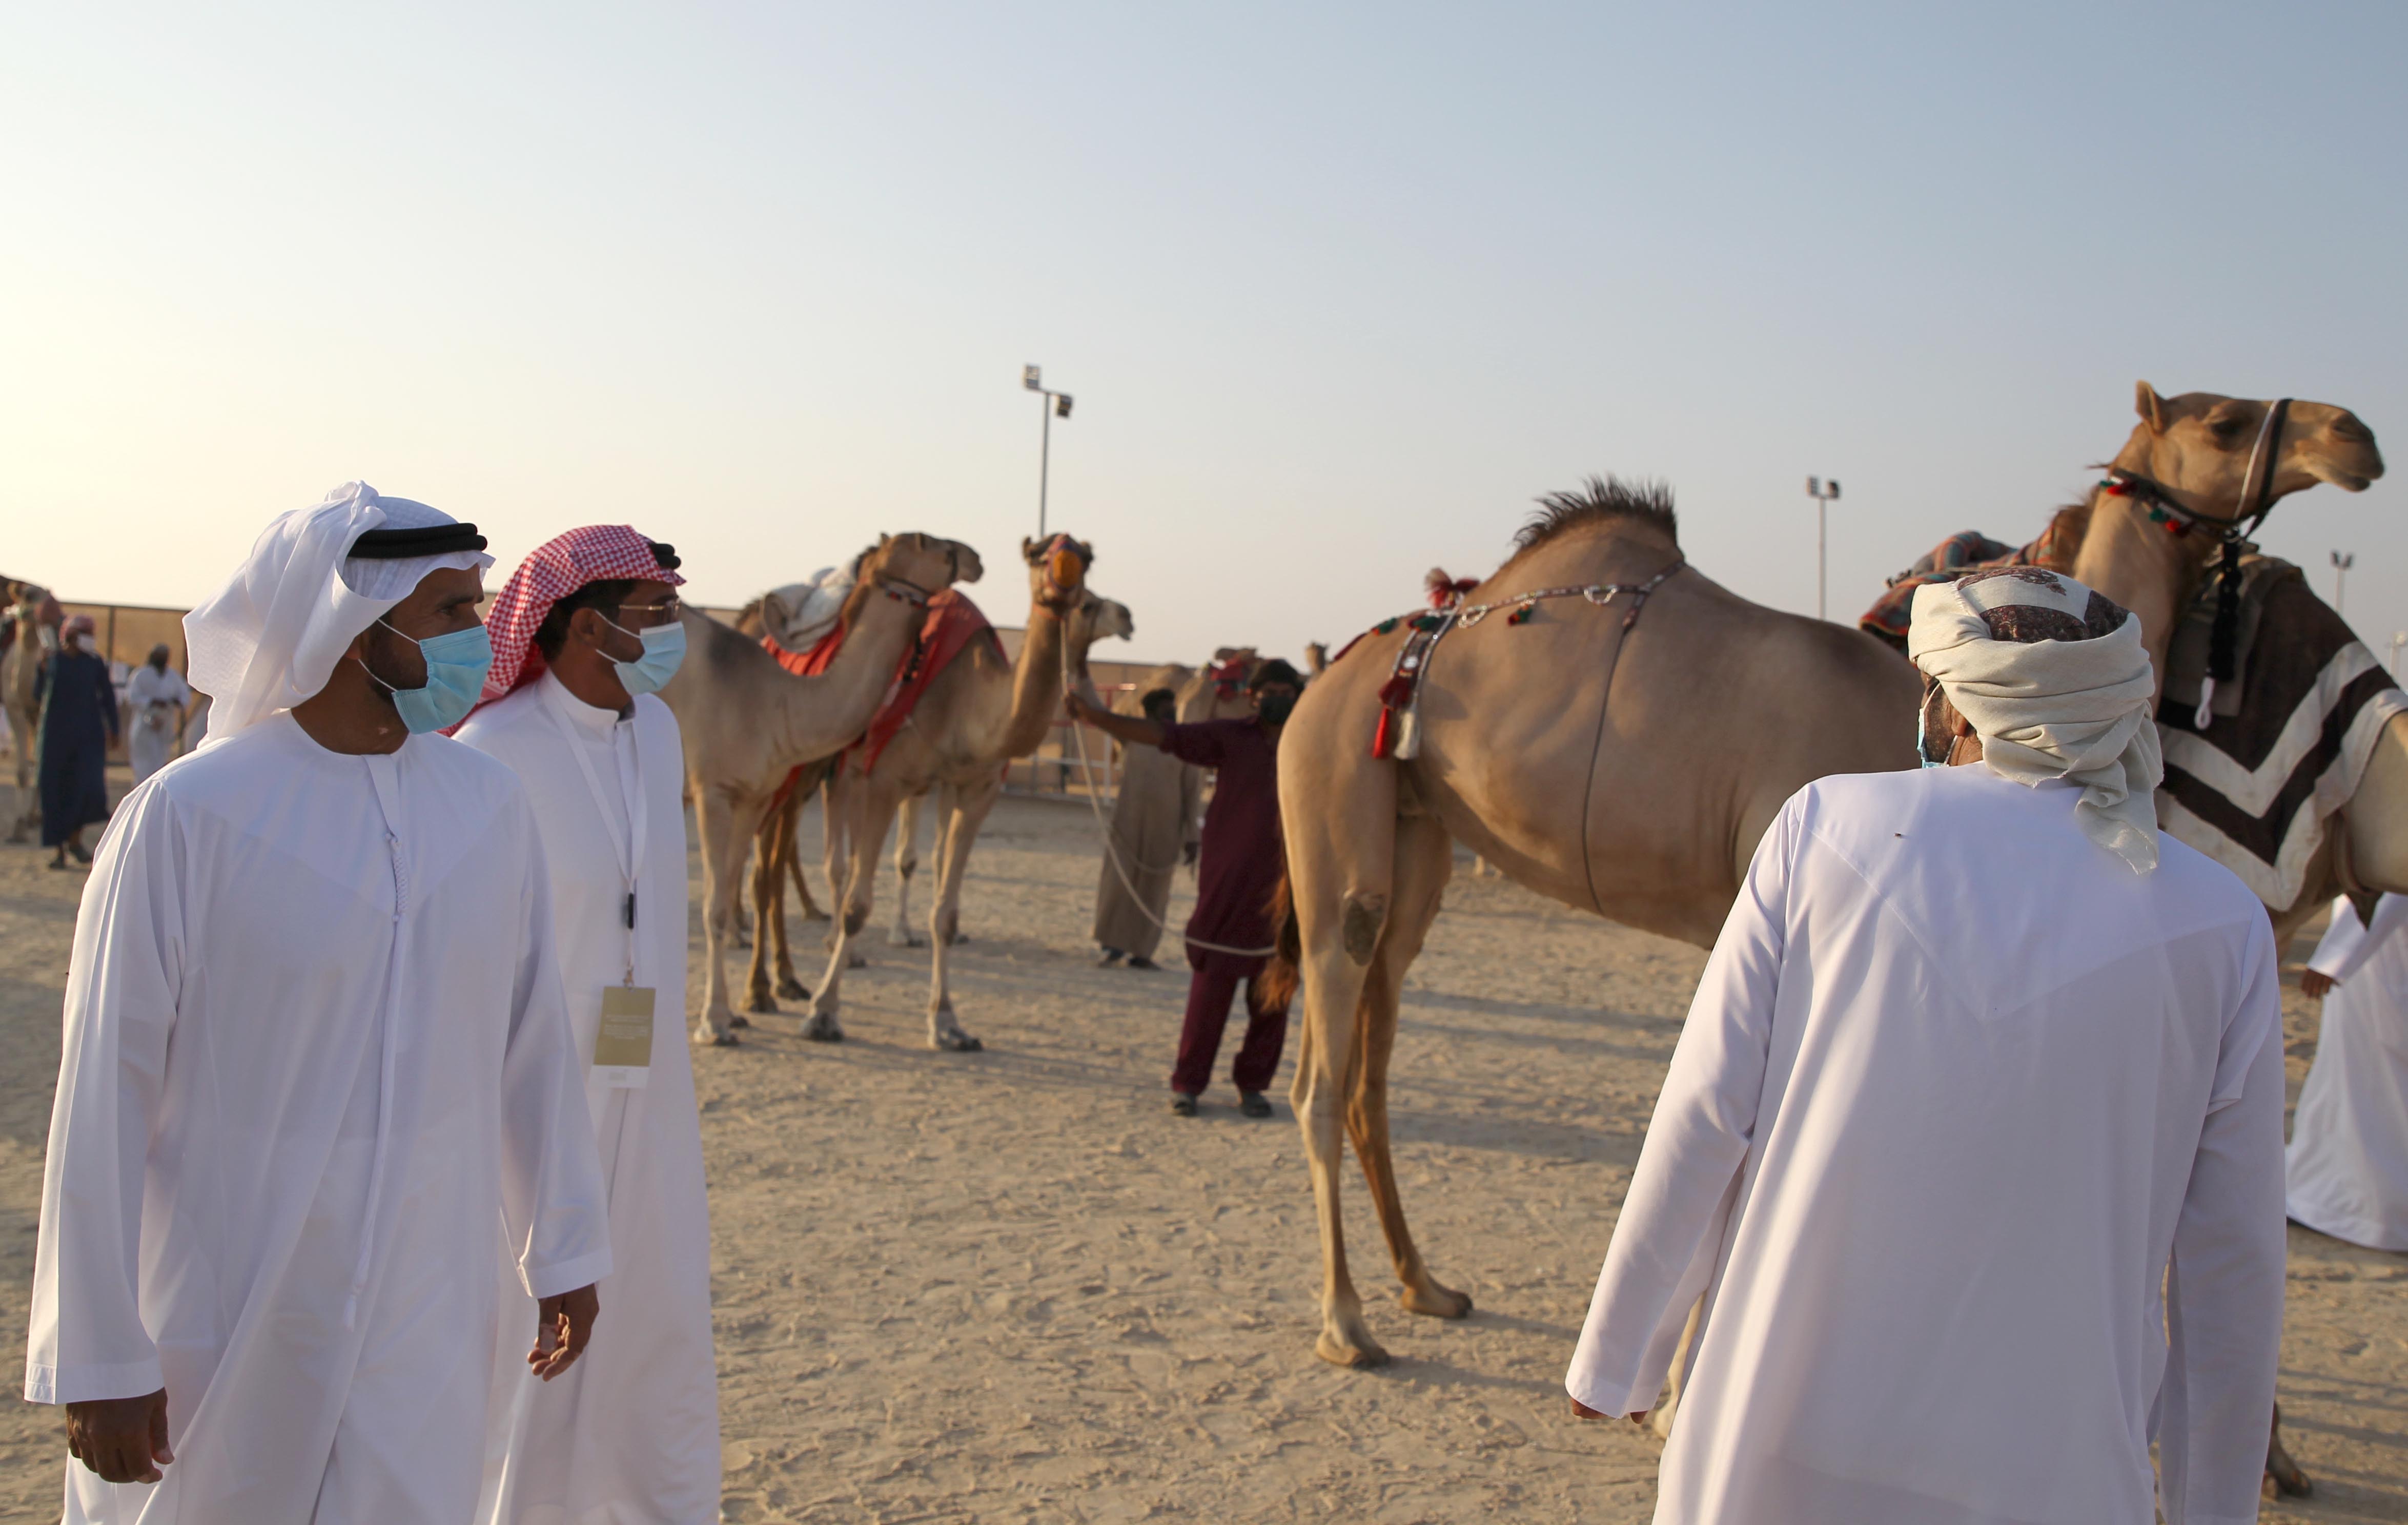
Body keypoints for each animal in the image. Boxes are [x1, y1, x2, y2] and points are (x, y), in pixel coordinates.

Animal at [660, 530, 977, 1041]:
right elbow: (714, 908)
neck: (778, 703)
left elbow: (728, 896)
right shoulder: (713, 791)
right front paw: (713, 1023)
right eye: (929, 542)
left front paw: (732, 1013)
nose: (973, 556)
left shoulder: (754, 796)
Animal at [789, 532, 1127, 1045]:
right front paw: (823, 1012)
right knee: (823, 857)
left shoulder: (973, 788)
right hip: (831, 764)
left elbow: (945, 913)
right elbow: (858, 905)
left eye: (1087, 560)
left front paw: (947, 1022)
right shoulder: (888, 779)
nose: (1063, 584)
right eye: (1038, 555)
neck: (966, 698)